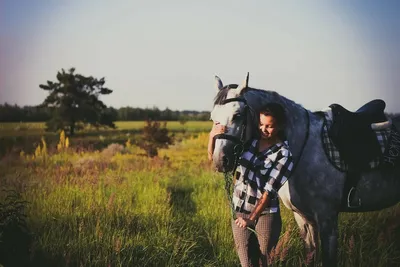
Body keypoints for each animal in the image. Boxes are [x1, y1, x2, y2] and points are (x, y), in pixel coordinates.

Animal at [209, 74, 400, 267]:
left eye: (237, 115)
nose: (220, 160)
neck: (305, 145)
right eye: (213, 117)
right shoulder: (303, 218)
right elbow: (311, 254)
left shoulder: (327, 219)